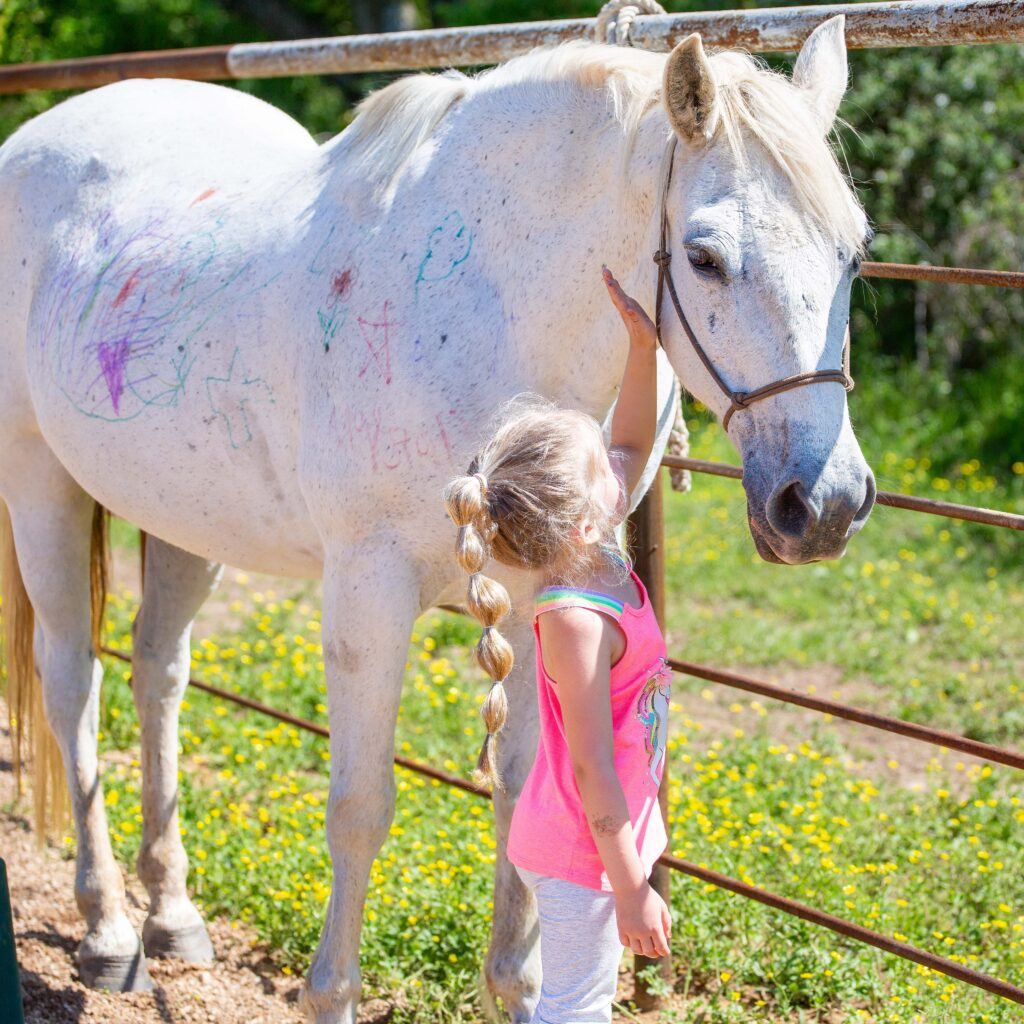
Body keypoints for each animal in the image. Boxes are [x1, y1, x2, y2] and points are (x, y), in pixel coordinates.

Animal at [0, 18, 872, 1024]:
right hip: (40, 483)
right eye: (704, 257)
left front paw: (517, 986)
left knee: (158, 673)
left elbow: (530, 799)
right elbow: (360, 809)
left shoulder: (541, 602)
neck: (492, 301)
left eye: (855, 250)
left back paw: (173, 916)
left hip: (183, 519)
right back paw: (108, 933)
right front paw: (331, 994)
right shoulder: (368, 599)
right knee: (72, 678)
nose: (824, 505)